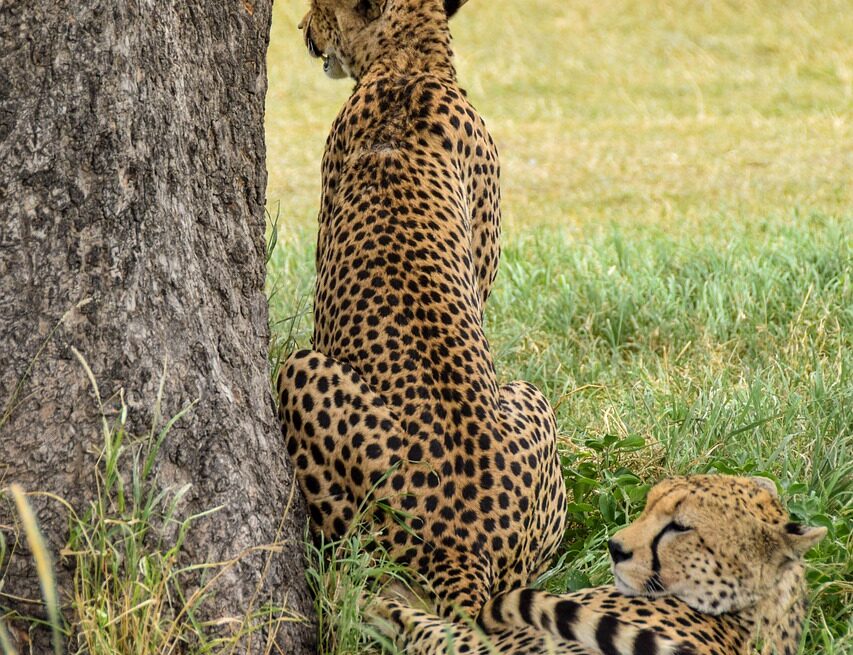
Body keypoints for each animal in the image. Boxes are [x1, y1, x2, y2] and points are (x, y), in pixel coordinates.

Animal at [278, 0, 567, 620]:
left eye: (320, 8)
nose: (302, 28)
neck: (411, 63)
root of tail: (467, 543)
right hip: (529, 401)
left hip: (299, 369)